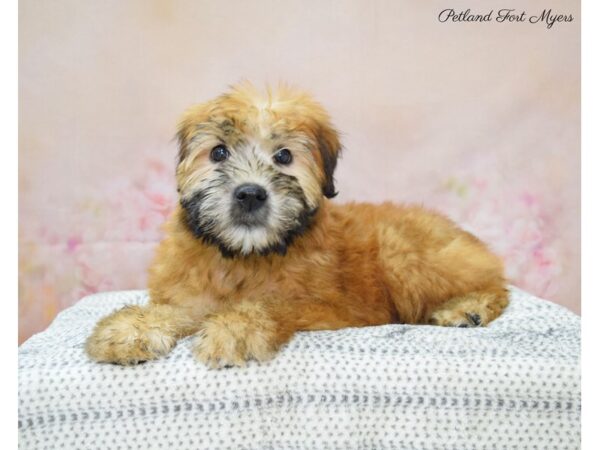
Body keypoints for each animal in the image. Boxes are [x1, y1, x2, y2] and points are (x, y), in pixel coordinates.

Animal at [85, 84, 506, 370]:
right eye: (218, 152)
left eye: (284, 156)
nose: (250, 194)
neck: (245, 255)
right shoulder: (192, 294)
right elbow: (178, 309)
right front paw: (131, 328)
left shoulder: (326, 307)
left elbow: (272, 304)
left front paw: (235, 330)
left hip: (404, 255)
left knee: (497, 286)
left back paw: (468, 308)